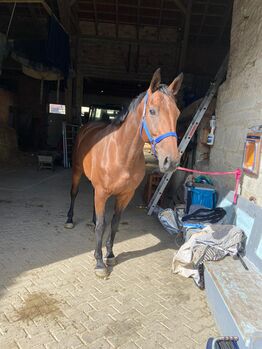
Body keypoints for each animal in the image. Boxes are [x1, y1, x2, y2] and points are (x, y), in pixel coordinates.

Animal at [64, 67, 183, 274]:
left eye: (177, 113)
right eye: (152, 111)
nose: (172, 161)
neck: (121, 154)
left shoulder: (124, 195)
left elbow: (113, 224)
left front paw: (110, 255)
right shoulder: (103, 192)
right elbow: (102, 226)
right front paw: (99, 262)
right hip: (77, 172)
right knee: (74, 193)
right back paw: (70, 220)